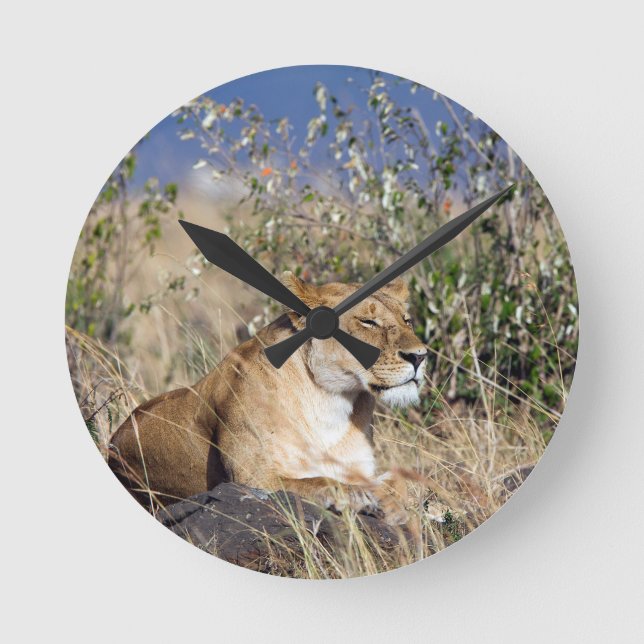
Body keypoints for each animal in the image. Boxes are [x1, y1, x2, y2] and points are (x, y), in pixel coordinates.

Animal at [108, 273, 428, 525]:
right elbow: (318, 481)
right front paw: (359, 496)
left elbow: (403, 481)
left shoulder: (361, 467)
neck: (330, 401)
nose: (420, 356)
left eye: (407, 320)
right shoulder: (253, 480)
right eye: (368, 321)